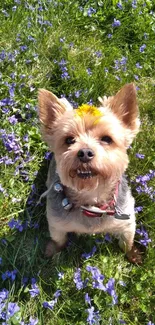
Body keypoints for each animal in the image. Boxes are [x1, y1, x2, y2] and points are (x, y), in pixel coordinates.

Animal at [37, 82, 142, 262]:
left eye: (107, 139)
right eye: (69, 140)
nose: (84, 153)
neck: (91, 199)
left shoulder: (127, 221)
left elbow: (127, 242)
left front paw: (134, 255)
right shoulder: (56, 222)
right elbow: (58, 239)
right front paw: (53, 250)